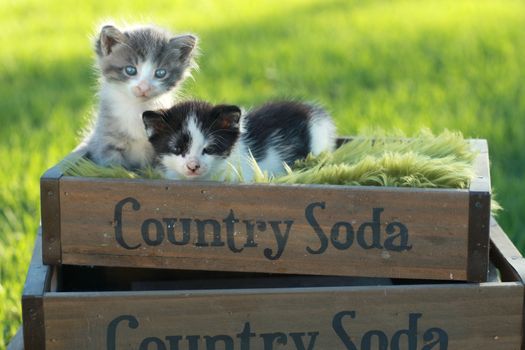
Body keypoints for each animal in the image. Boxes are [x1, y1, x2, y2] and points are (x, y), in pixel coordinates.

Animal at [79, 23, 198, 169]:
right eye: (130, 70)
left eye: (160, 73)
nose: (143, 87)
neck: (136, 109)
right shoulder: (107, 141)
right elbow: (115, 167)